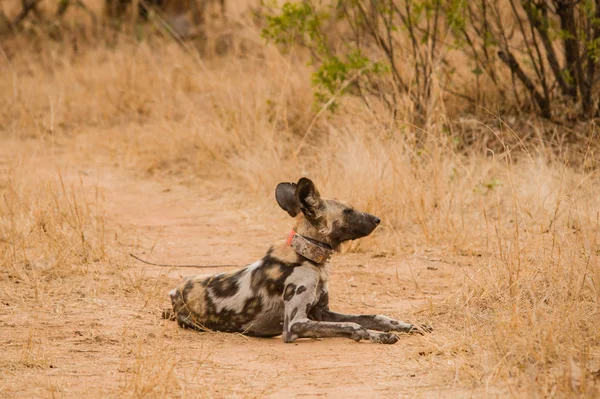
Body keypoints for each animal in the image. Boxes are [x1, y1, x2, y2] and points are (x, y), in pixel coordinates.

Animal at [163, 178, 426, 344]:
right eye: (348, 211)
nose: (377, 219)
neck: (308, 257)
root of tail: (174, 291)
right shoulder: (295, 324)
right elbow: (355, 326)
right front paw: (380, 337)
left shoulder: (322, 313)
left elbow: (374, 317)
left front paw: (408, 326)